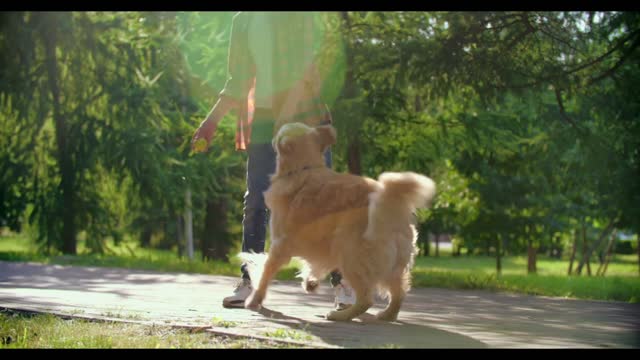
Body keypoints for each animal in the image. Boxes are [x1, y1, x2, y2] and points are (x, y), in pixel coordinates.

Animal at [240, 123, 436, 320]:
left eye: (281, 132)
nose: (272, 136)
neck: (306, 168)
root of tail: (390, 205)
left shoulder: (280, 246)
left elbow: (265, 273)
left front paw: (254, 300)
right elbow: (313, 263)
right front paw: (310, 281)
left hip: (350, 256)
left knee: (366, 299)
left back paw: (340, 315)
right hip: (392, 265)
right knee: (398, 292)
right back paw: (386, 314)